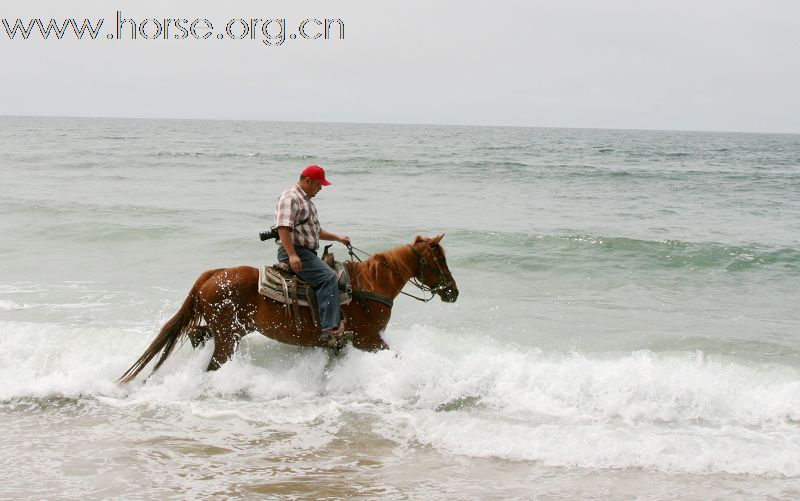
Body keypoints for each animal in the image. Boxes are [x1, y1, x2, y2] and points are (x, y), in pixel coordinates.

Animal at [117, 234, 456, 382]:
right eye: (439, 259)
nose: (453, 291)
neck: (369, 286)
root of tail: (213, 274)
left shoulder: (345, 345)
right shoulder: (370, 340)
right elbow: (397, 357)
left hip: (224, 331)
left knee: (197, 335)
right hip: (228, 337)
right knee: (213, 363)